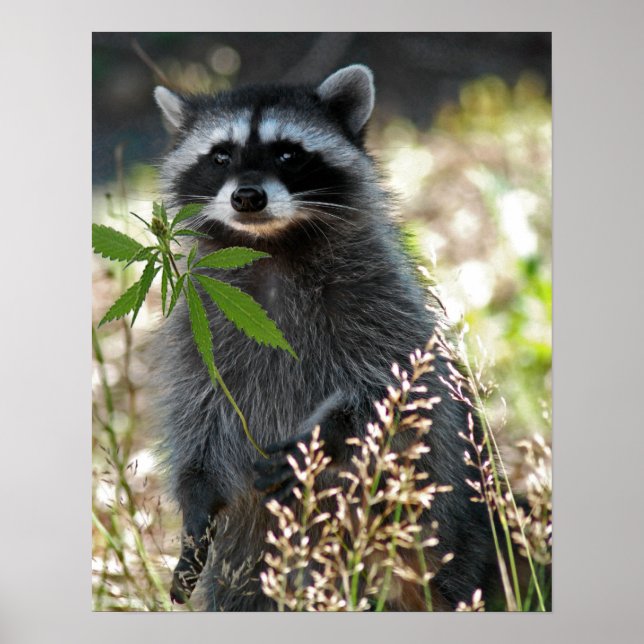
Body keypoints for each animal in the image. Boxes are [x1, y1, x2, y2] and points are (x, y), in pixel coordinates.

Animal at [152, 65, 493, 611]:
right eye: (221, 155)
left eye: (288, 153)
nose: (247, 197)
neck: (269, 248)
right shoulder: (198, 326)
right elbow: (198, 417)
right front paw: (195, 499)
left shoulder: (380, 301)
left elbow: (392, 392)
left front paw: (322, 436)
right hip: (249, 565)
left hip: (444, 532)